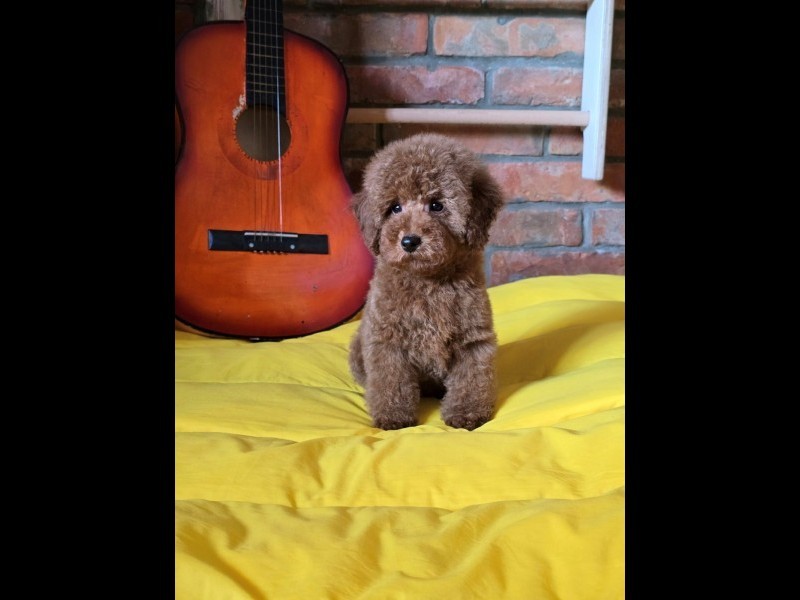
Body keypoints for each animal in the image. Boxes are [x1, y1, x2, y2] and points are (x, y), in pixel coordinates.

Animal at [348, 133, 505, 430]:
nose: (409, 241)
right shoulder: (387, 341)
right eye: (394, 208)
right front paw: (394, 416)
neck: (428, 281)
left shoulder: (472, 340)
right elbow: (391, 380)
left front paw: (467, 413)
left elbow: (471, 379)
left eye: (436, 205)